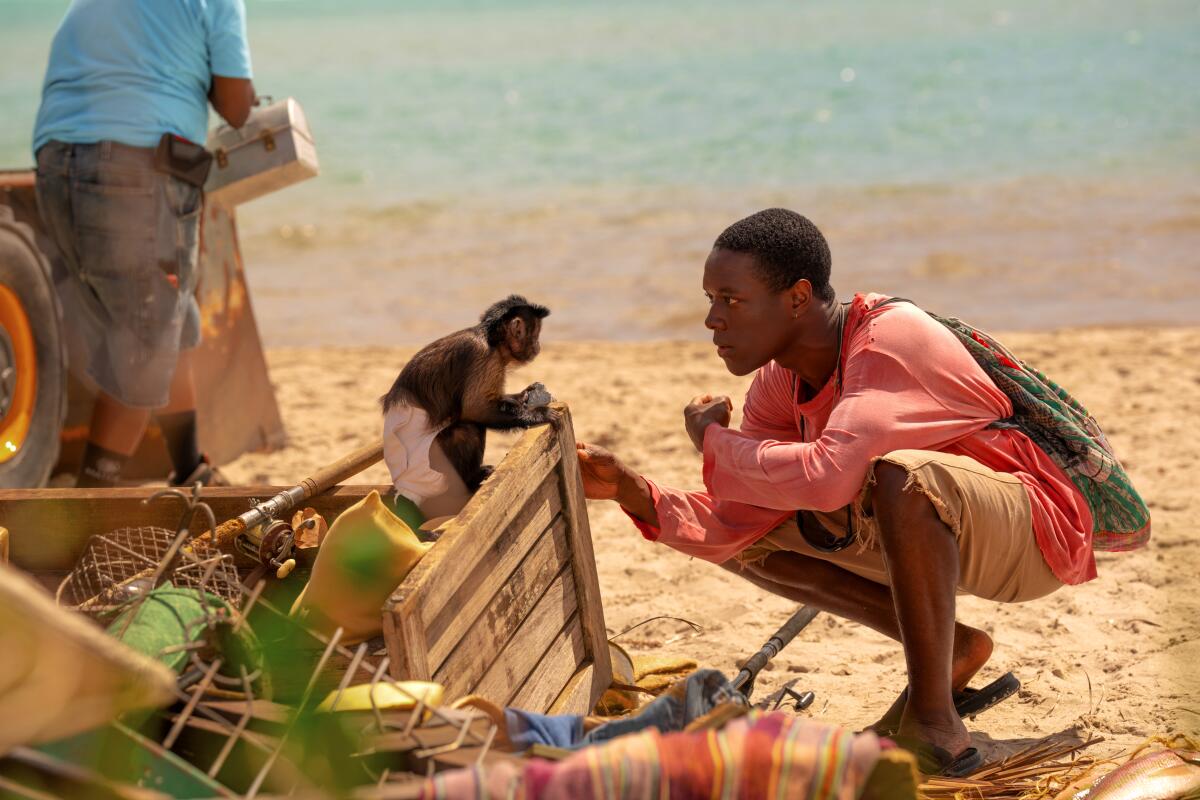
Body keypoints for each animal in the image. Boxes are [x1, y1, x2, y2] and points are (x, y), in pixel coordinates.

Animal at [379, 293, 556, 501]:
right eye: (535, 334)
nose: (538, 346)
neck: (492, 341)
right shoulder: (485, 357)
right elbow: (476, 410)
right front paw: (539, 414)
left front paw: (526, 396)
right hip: (432, 474)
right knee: (468, 427)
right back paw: (470, 480)